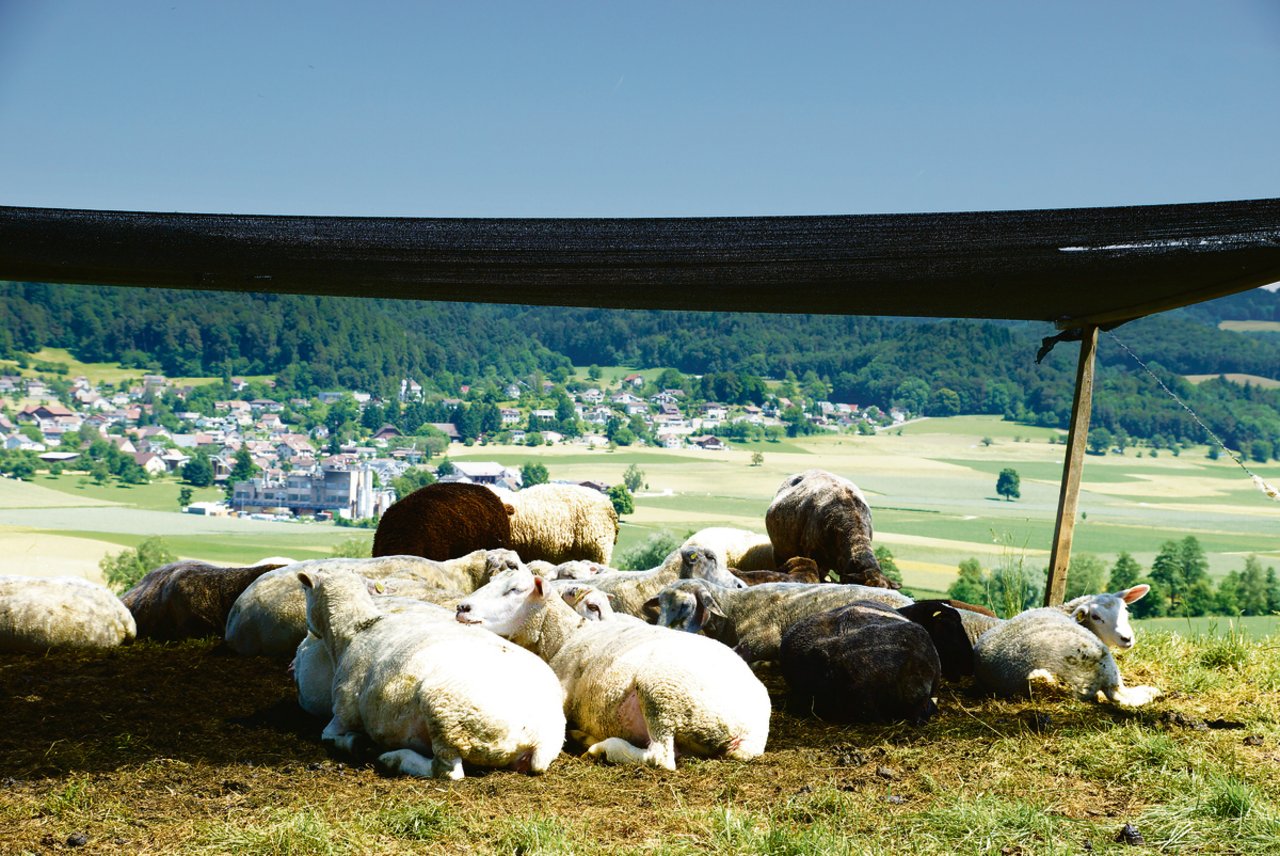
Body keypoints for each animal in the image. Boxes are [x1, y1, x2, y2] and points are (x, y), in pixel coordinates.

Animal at [299, 568, 565, 783]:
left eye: (305, 590)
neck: (357, 628)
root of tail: (540, 733)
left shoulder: (343, 712)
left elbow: (329, 736)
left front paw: (358, 744)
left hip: (447, 717)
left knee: (447, 771)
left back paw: (393, 759)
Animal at [455, 562, 762, 772]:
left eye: (515, 590)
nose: (462, 608)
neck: (565, 636)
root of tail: (750, 730)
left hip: (662, 693)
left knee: (660, 756)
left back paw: (600, 747)